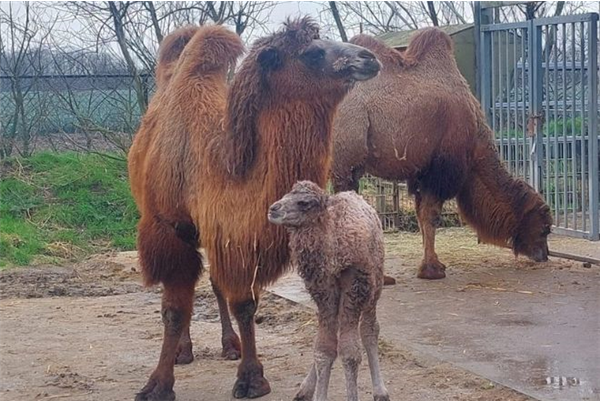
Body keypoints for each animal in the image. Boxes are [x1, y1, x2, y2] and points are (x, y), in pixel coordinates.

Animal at [268, 182, 390, 402]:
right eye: (287, 194)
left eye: (304, 203)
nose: (273, 209)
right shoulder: (323, 289)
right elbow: (323, 348)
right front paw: (314, 393)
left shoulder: (355, 284)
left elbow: (350, 352)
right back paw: (305, 389)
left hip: (374, 285)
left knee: (369, 329)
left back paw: (380, 391)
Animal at [330, 29, 552, 280]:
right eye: (545, 228)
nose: (544, 255)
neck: (476, 142)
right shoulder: (441, 169)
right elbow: (431, 215)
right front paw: (432, 269)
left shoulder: (420, 172)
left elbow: (420, 215)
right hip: (346, 153)